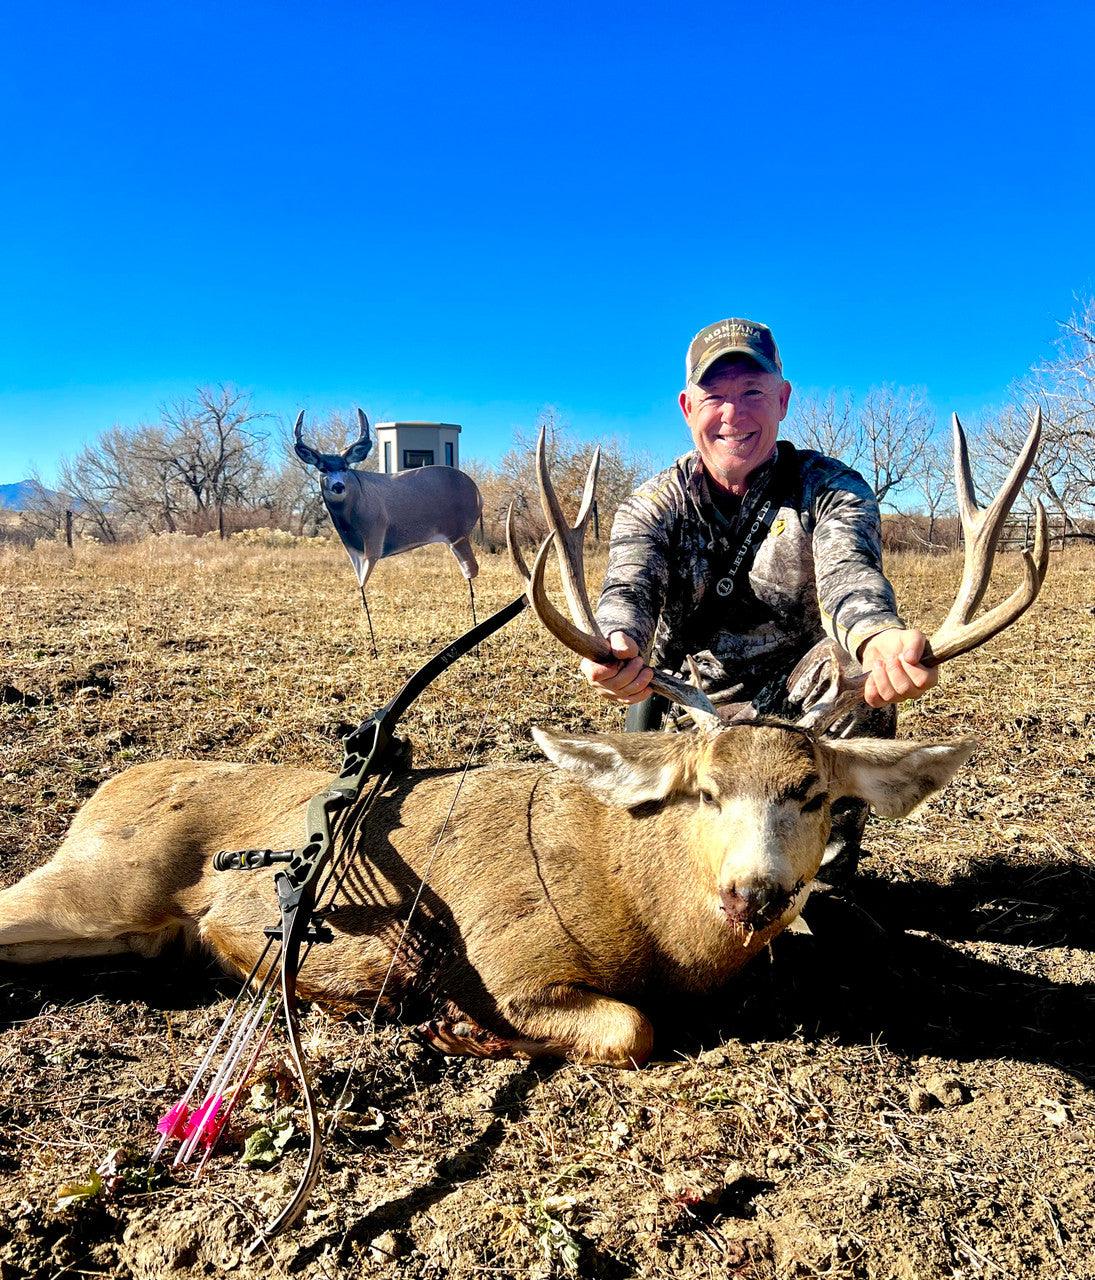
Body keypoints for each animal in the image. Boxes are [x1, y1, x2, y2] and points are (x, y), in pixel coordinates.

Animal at [293, 409, 483, 650]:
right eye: (323, 468)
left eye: (345, 467)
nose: (338, 486)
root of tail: (477, 493)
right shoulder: (353, 550)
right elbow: (361, 587)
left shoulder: (375, 534)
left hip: (457, 533)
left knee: (471, 570)